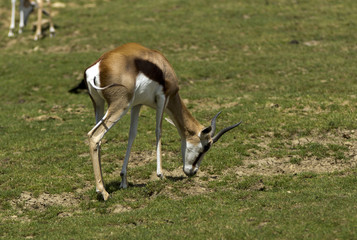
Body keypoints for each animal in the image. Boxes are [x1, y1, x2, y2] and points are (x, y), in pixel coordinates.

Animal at [85, 42, 242, 200]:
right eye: (206, 147)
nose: (193, 171)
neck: (163, 68)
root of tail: (98, 66)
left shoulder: (137, 104)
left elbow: (132, 135)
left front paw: (124, 180)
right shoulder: (163, 98)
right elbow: (158, 131)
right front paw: (161, 175)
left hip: (99, 104)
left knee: (98, 140)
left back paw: (101, 187)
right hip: (120, 106)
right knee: (94, 135)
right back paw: (103, 192)